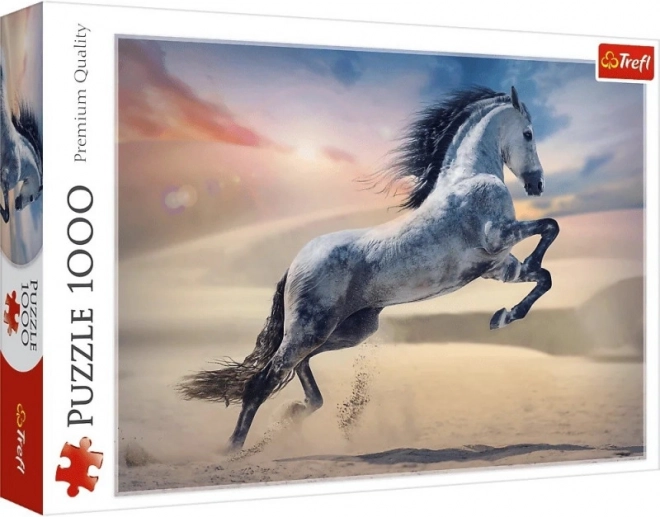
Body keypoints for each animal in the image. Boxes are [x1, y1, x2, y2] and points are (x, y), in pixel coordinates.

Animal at [177, 85, 560, 452]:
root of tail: (295, 264)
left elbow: (543, 277)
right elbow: (550, 227)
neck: (469, 179)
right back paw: (234, 449)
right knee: (263, 381)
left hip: (348, 330)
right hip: (310, 328)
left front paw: (503, 316)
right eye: (528, 134)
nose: (537, 185)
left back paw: (296, 411)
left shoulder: (497, 265)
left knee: (300, 367)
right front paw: (512, 301)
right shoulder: (497, 237)